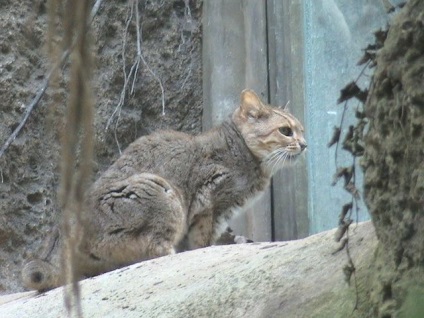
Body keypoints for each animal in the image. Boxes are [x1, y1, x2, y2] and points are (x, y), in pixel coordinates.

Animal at [21, 89, 306, 290]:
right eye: (285, 131)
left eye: (302, 130)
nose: (305, 144)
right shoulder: (208, 203)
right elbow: (201, 240)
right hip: (162, 190)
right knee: (152, 250)